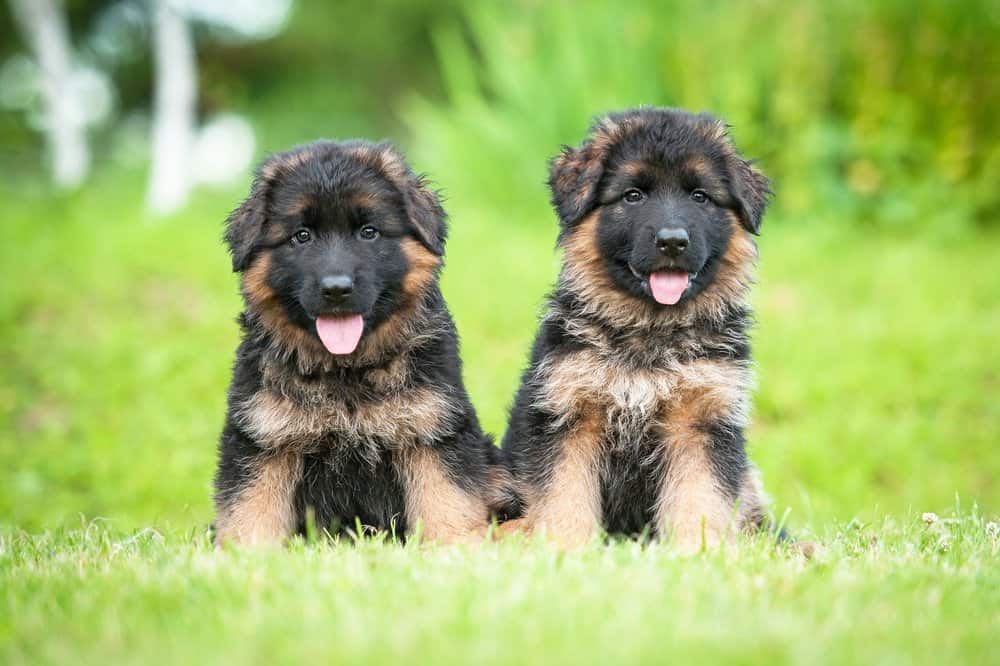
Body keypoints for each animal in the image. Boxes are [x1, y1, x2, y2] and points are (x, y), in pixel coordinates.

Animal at [214, 140, 504, 544]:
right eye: (301, 236)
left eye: (369, 232)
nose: (336, 289)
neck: (345, 369)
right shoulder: (263, 438)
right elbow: (250, 509)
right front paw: (245, 553)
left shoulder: (431, 429)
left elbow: (447, 500)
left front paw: (456, 546)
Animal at [504, 106, 768, 548]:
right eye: (633, 195)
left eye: (699, 196)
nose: (673, 241)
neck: (649, 335)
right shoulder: (569, 416)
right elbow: (564, 497)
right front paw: (566, 549)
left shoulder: (701, 421)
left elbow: (700, 498)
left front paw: (699, 551)